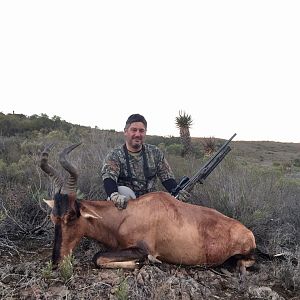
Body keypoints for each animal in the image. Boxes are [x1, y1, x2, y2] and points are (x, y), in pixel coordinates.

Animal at [39, 143, 255, 274]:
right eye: (53, 217)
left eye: (71, 216)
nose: (56, 262)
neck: (127, 215)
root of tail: (248, 232)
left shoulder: (142, 249)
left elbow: (98, 257)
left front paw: (147, 262)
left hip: (245, 254)